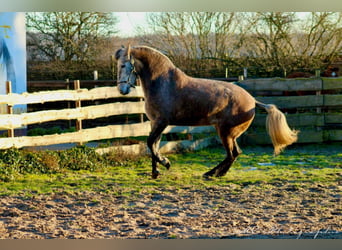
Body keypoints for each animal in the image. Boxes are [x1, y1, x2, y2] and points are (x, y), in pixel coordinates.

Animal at [114, 44, 296, 178]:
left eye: (124, 65)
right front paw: (155, 172)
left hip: (225, 132)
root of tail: (252, 101)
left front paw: (165, 163)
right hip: (230, 134)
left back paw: (211, 173)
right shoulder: (155, 123)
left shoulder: (162, 122)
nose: (122, 90)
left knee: (231, 154)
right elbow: (154, 145)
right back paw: (217, 173)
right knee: (235, 153)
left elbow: (151, 143)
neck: (162, 84)